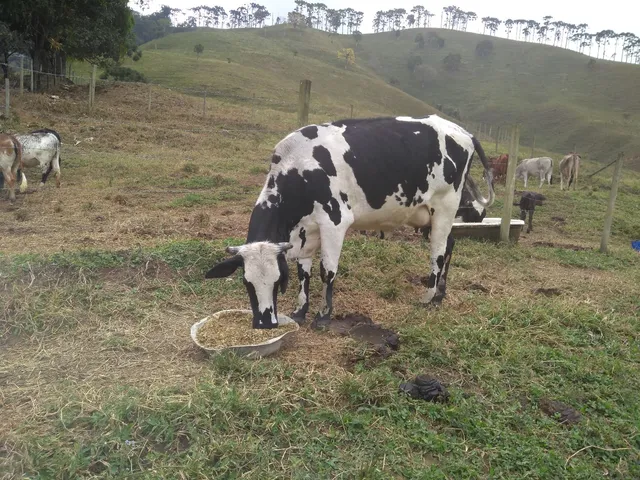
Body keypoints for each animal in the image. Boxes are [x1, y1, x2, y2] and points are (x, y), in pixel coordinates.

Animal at [204, 115, 495, 330]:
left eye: (276, 282)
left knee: (438, 253)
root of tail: (463, 132)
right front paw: (300, 311)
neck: (299, 167)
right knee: (450, 245)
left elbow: (327, 271)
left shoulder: (335, 222)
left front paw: (323, 315)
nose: (265, 324)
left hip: (445, 207)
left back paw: (428, 297)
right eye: (246, 282)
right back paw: (441, 295)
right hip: (430, 215)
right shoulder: (306, 232)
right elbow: (304, 272)